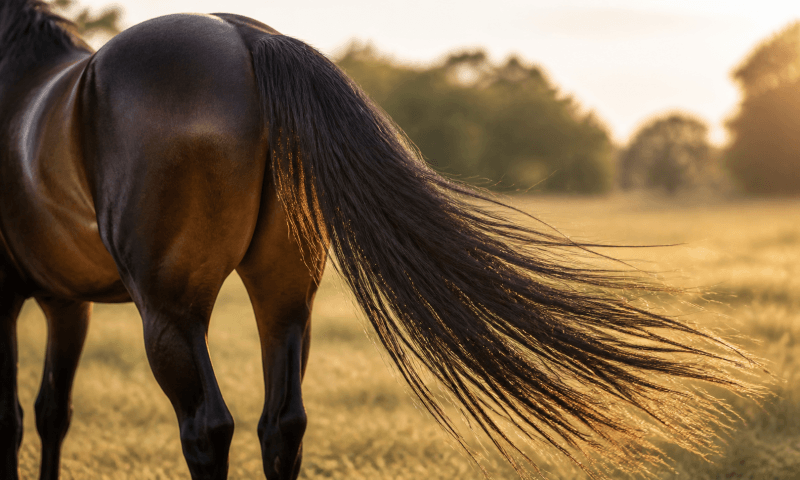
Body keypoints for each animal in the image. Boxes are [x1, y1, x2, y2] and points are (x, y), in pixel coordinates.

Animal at [0, 1, 760, 479]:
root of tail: (247, 39)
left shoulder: (15, 299)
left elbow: (14, 417)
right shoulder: (66, 301)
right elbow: (51, 413)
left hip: (172, 311)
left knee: (208, 429)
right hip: (283, 300)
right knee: (281, 425)